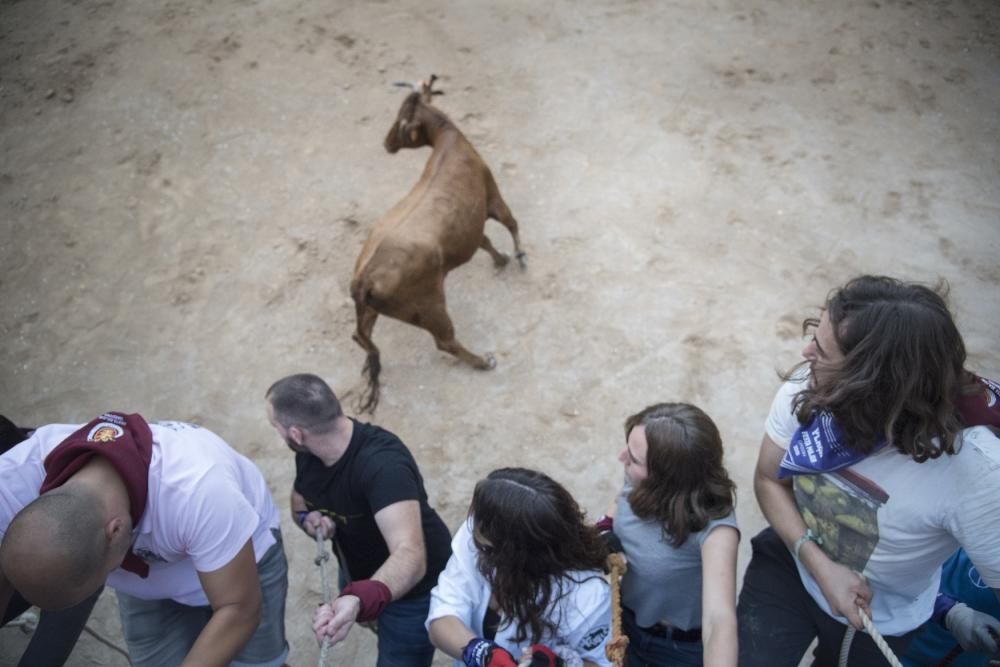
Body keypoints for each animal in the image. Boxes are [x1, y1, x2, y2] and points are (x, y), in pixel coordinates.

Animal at [350, 77, 524, 412]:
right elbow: (511, 222)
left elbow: (484, 241)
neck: (448, 138)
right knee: (445, 341)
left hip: (370, 311)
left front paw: (502, 259)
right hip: (432, 306)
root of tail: (364, 281)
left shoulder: (470, 228)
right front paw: (520, 256)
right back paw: (483, 361)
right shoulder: (493, 196)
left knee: (360, 337)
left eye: (399, 120)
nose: (387, 143)